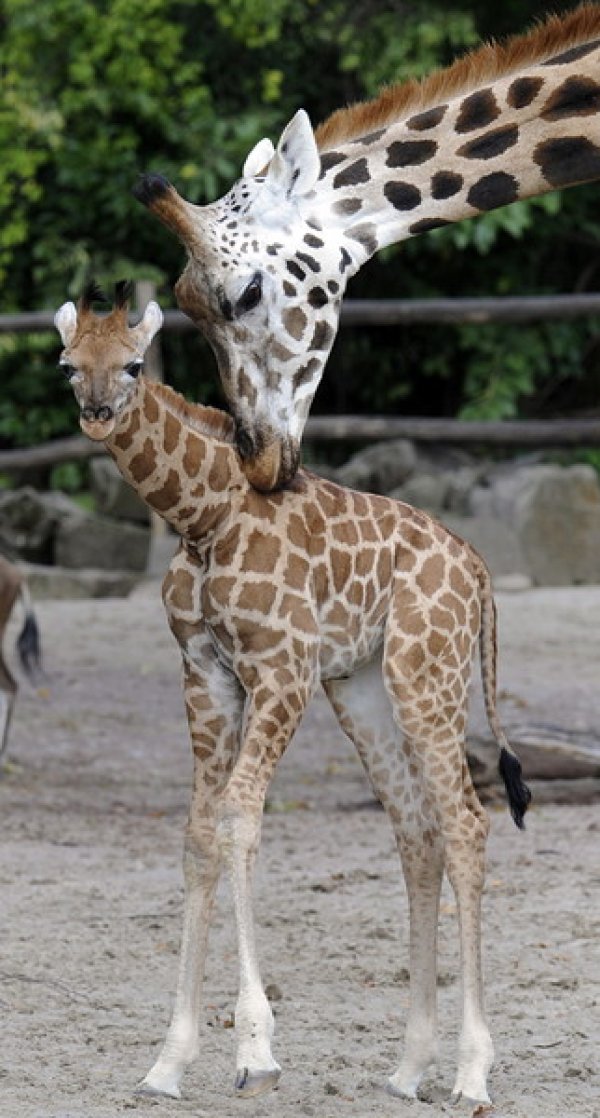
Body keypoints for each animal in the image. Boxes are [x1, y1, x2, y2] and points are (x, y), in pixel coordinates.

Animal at [53, 283, 527, 1104]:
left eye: (135, 363)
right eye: (68, 364)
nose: (98, 410)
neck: (202, 519)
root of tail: (477, 568)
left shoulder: (282, 671)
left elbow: (239, 818)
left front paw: (255, 1052)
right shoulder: (207, 676)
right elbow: (199, 833)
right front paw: (168, 1063)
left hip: (425, 673)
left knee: (466, 822)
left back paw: (471, 1075)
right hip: (362, 689)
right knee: (417, 831)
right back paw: (409, 1069)